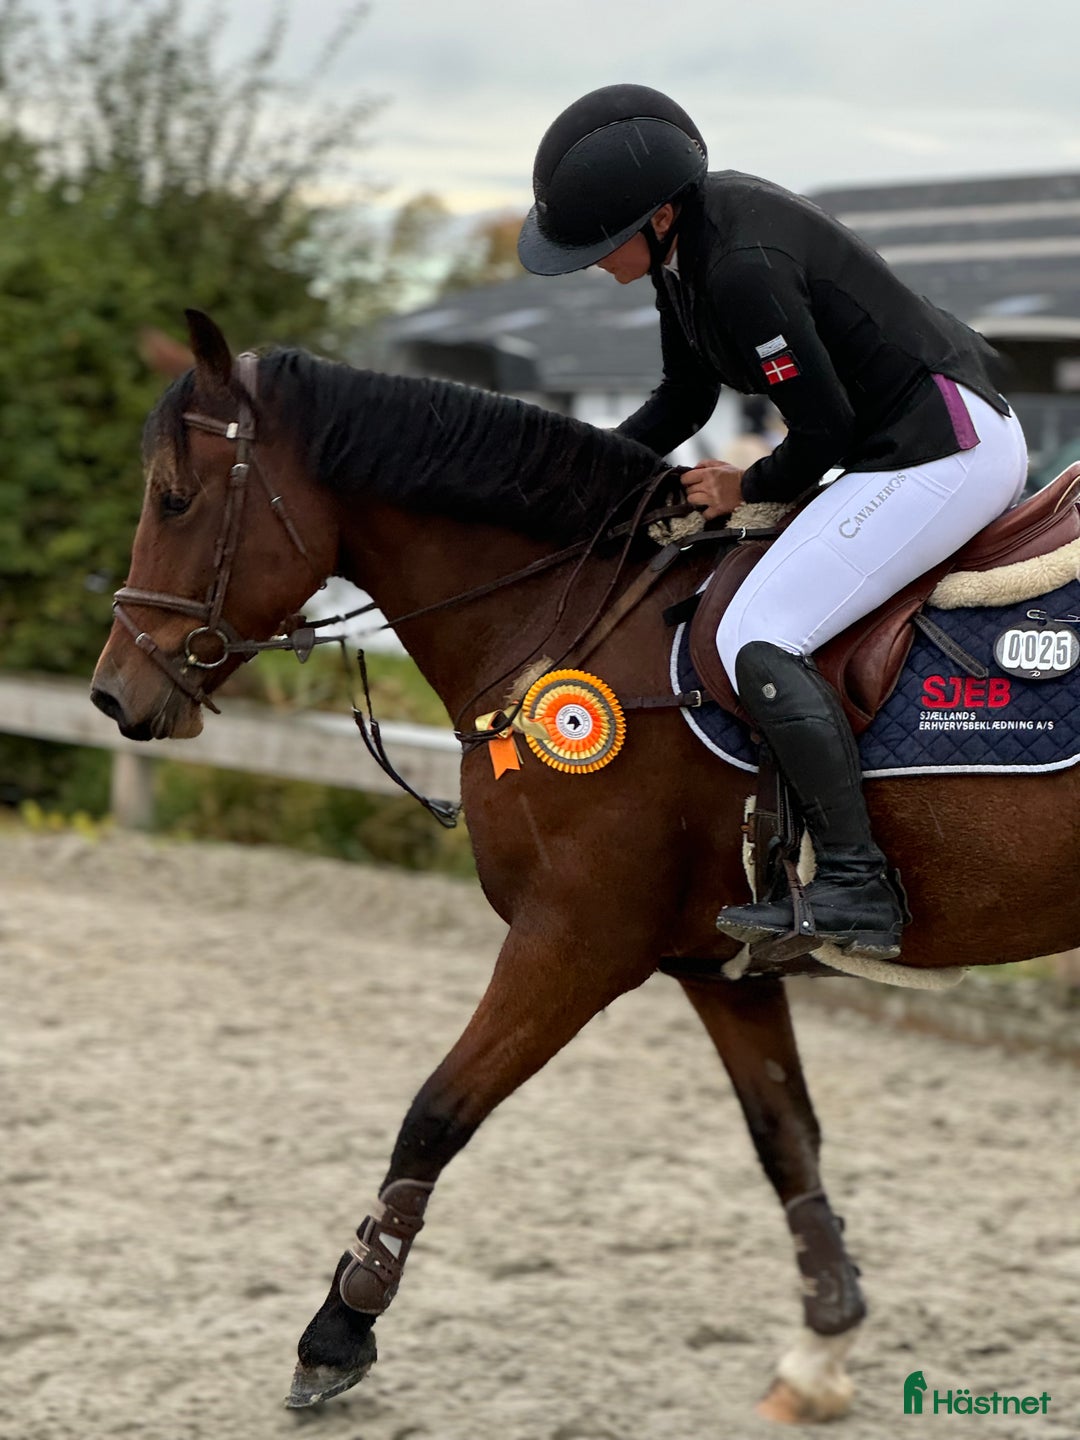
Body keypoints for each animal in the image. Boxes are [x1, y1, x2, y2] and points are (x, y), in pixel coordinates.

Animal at [91, 310, 1080, 1424]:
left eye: (175, 498)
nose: (115, 694)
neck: (569, 623)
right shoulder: (719, 968)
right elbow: (785, 1134)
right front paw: (821, 1351)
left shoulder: (575, 940)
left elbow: (436, 1114)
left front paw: (337, 1331)